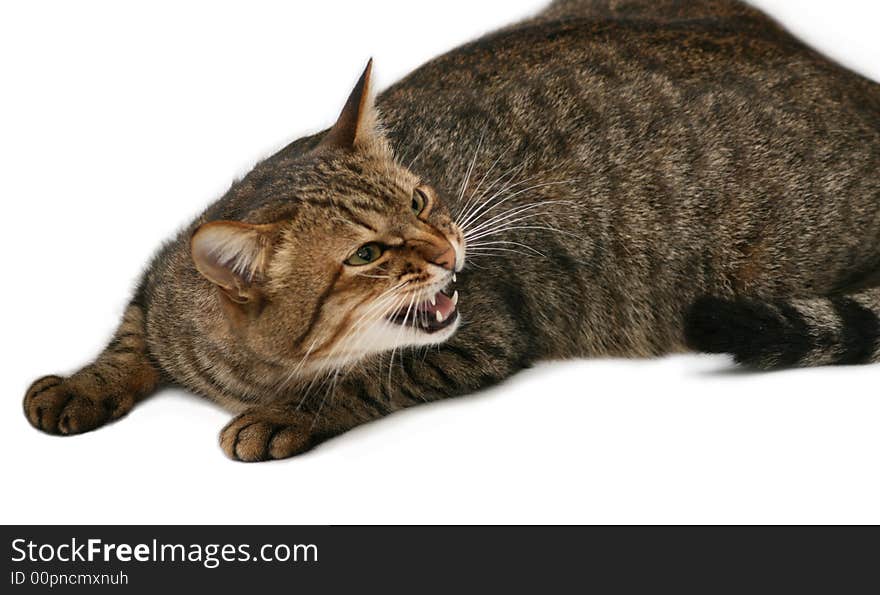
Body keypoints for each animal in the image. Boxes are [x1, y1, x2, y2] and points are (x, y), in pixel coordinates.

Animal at [24, 0, 880, 464]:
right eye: (368, 254)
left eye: (422, 198)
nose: (451, 247)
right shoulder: (160, 278)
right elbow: (129, 339)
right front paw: (80, 383)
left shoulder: (485, 332)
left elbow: (367, 379)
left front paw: (286, 414)